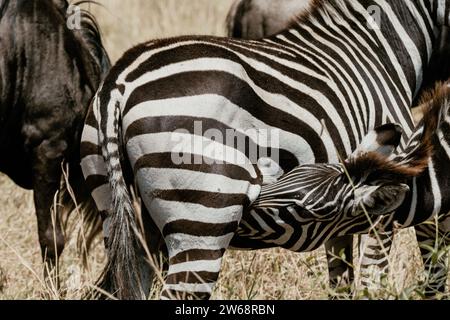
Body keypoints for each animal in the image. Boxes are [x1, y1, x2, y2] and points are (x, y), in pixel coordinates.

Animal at [81, 0, 450, 300]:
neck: (379, 52)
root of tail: (120, 83)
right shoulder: (383, 208)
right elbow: (378, 281)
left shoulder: (343, 218)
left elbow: (342, 284)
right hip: (203, 218)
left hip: (120, 212)